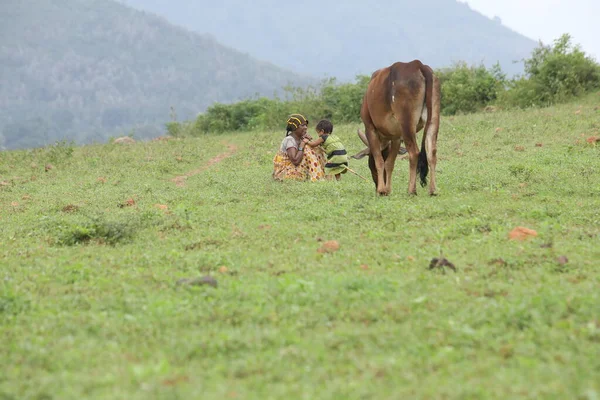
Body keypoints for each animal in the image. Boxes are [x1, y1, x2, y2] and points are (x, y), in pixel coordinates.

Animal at [352, 60, 440, 196]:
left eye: (370, 165)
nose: (377, 185)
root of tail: (418, 65)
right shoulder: (396, 137)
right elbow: (389, 163)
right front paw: (387, 189)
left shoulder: (369, 128)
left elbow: (379, 160)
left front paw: (382, 190)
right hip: (433, 120)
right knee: (432, 152)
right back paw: (432, 190)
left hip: (407, 124)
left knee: (414, 153)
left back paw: (411, 190)